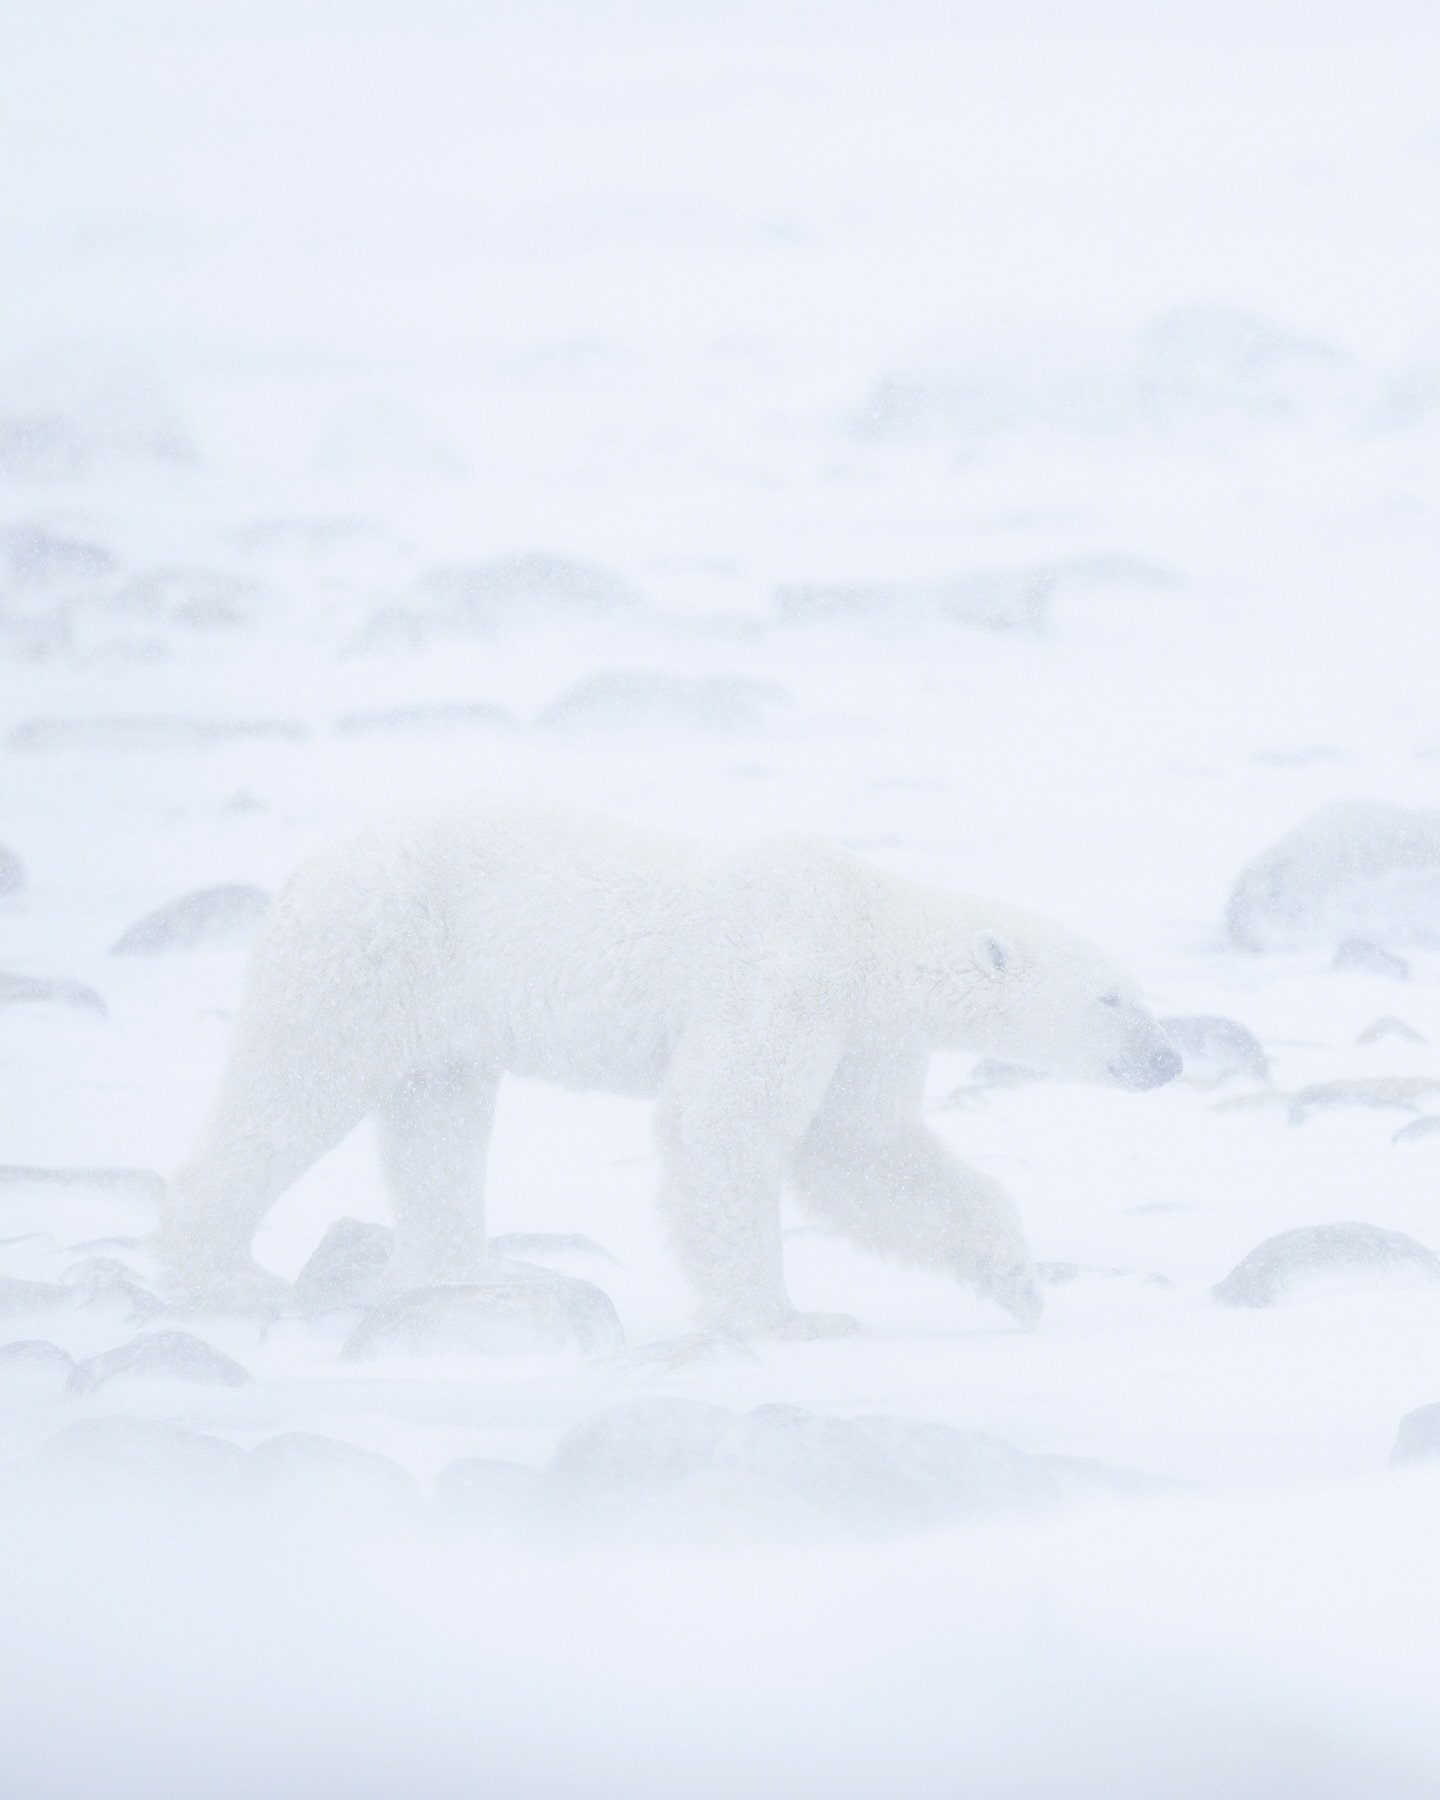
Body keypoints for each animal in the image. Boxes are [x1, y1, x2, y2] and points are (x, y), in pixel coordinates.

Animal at [159, 801, 1180, 1334]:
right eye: (1112, 1000)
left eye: (1140, 991)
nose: (1169, 1059)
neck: (863, 928)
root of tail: (305, 870)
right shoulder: (780, 980)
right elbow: (726, 1124)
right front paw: (781, 1316)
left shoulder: (859, 1038)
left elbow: (864, 1151)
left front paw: (1016, 1281)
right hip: (370, 958)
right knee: (291, 1090)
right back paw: (224, 1275)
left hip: (445, 1020)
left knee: (439, 1123)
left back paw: (472, 1277)